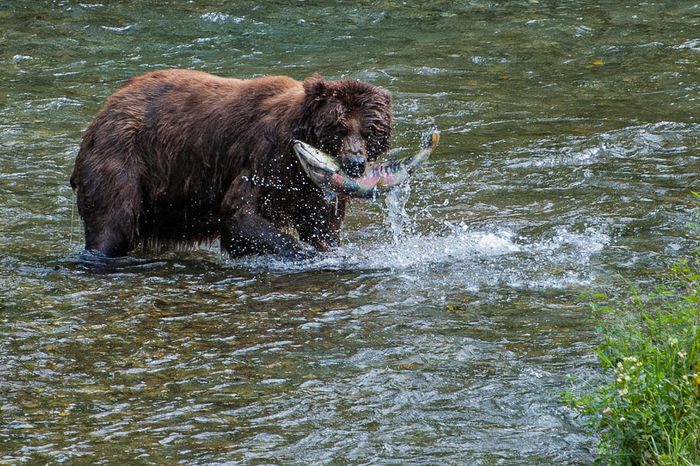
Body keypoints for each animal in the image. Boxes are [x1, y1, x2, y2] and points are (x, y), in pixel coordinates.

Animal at [71, 69, 394, 258]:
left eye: (370, 131)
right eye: (340, 128)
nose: (355, 162)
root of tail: (104, 111)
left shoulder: (310, 188)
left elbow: (321, 224)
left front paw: (328, 249)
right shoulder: (265, 156)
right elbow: (239, 214)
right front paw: (305, 251)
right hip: (124, 158)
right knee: (114, 222)